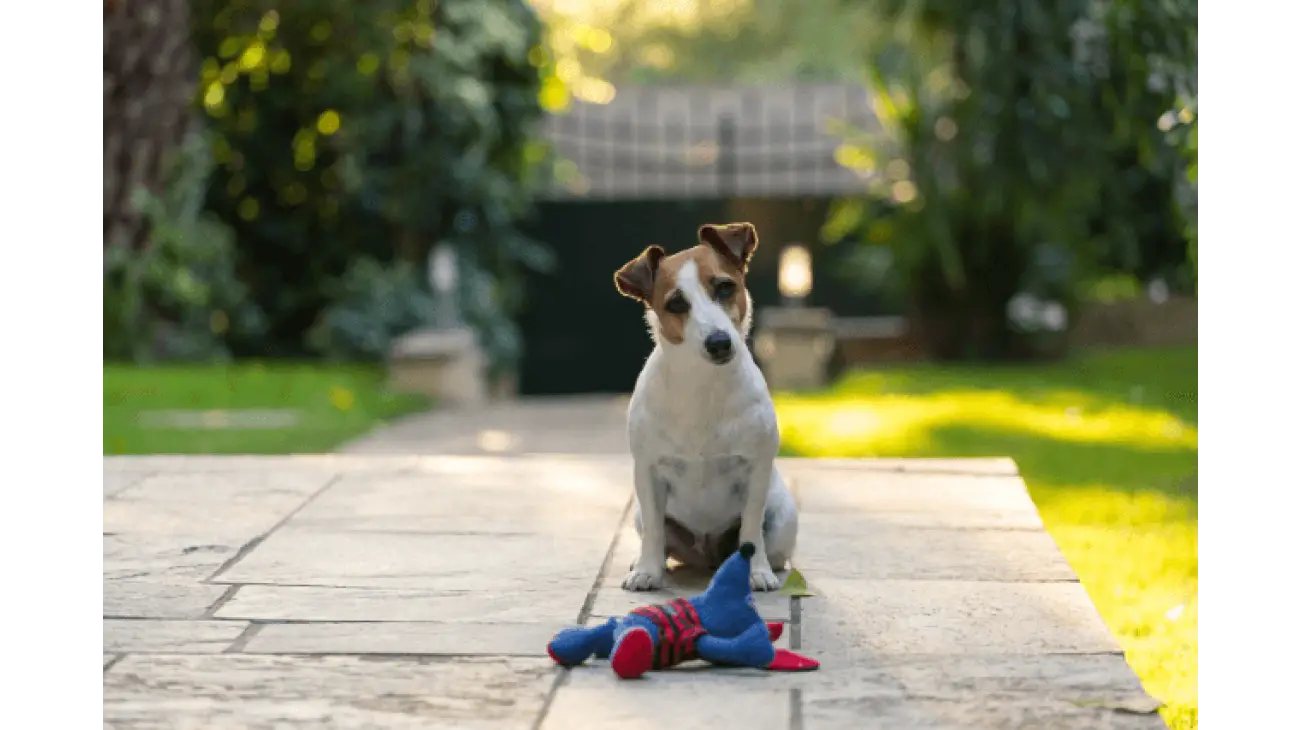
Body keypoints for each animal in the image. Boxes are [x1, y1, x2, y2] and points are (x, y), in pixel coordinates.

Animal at [613, 222, 795, 592]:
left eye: (725, 287)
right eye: (675, 303)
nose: (719, 343)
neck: (703, 385)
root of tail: (709, 557)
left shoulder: (755, 471)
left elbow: (751, 529)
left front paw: (757, 572)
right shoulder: (648, 471)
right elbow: (653, 529)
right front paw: (647, 571)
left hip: (785, 517)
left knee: (771, 545)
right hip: (642, 515)